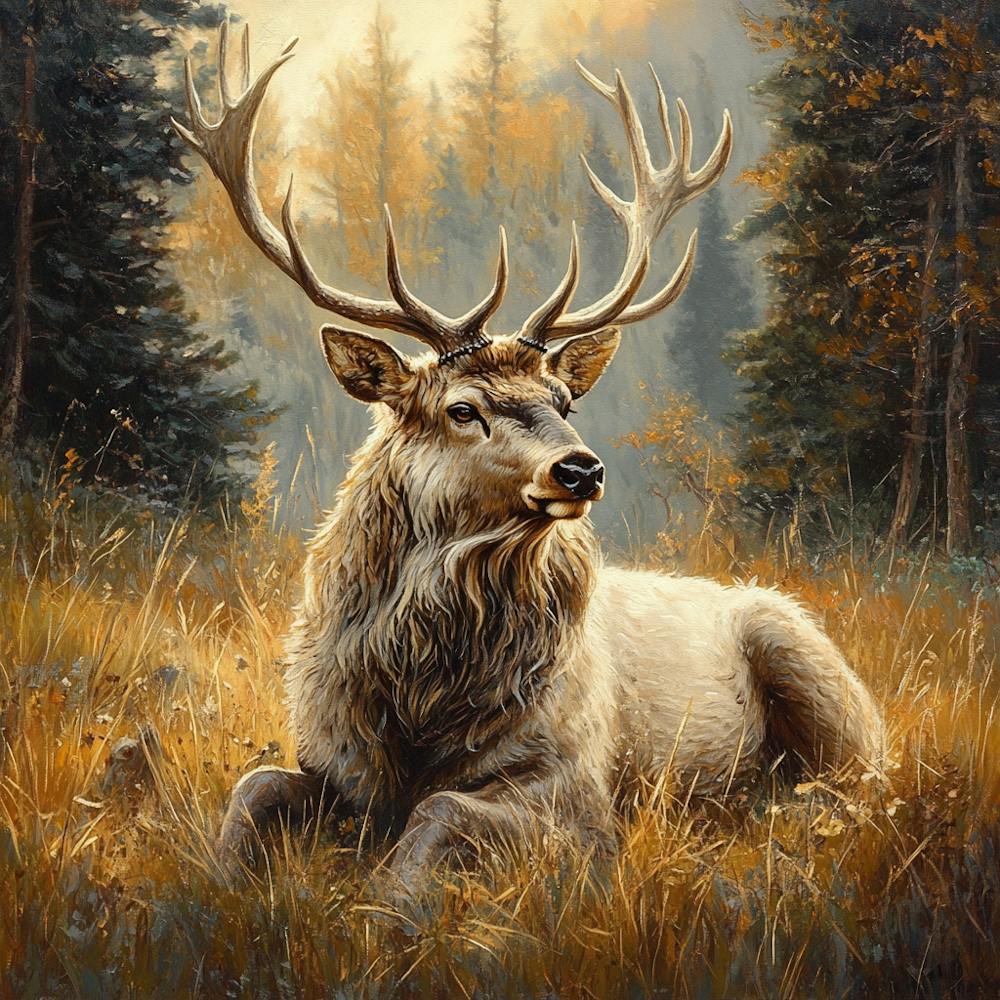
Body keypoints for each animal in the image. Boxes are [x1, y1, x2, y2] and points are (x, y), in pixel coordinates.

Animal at [173, 24, 885, 896]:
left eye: (563, 400)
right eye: (462, 409)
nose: (580, 469)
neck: (423, 697)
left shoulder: (580, 789)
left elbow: (441, 808)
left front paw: (389, 908)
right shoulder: (336, 761)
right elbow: (254, 785)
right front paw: (214, 887)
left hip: (818, 676)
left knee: (860, 786)